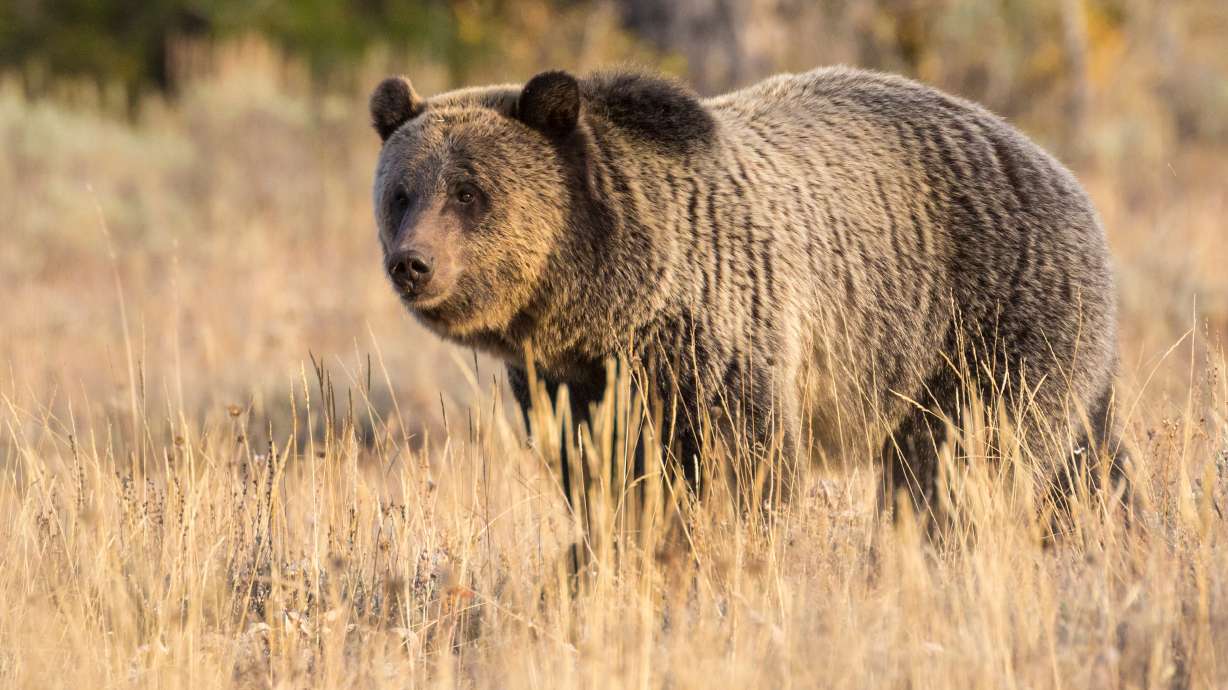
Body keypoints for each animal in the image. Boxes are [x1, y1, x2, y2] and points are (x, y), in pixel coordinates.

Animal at [368, 66, 1124, 518]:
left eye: (469, 192)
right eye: (401, 193)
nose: (413, 264)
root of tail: (1059, 170)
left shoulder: (723, 329)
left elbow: (743, 466)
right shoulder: (571, 382)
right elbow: (600, 472)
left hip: (988, 314)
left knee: (962, 458)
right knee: (1086, 466)